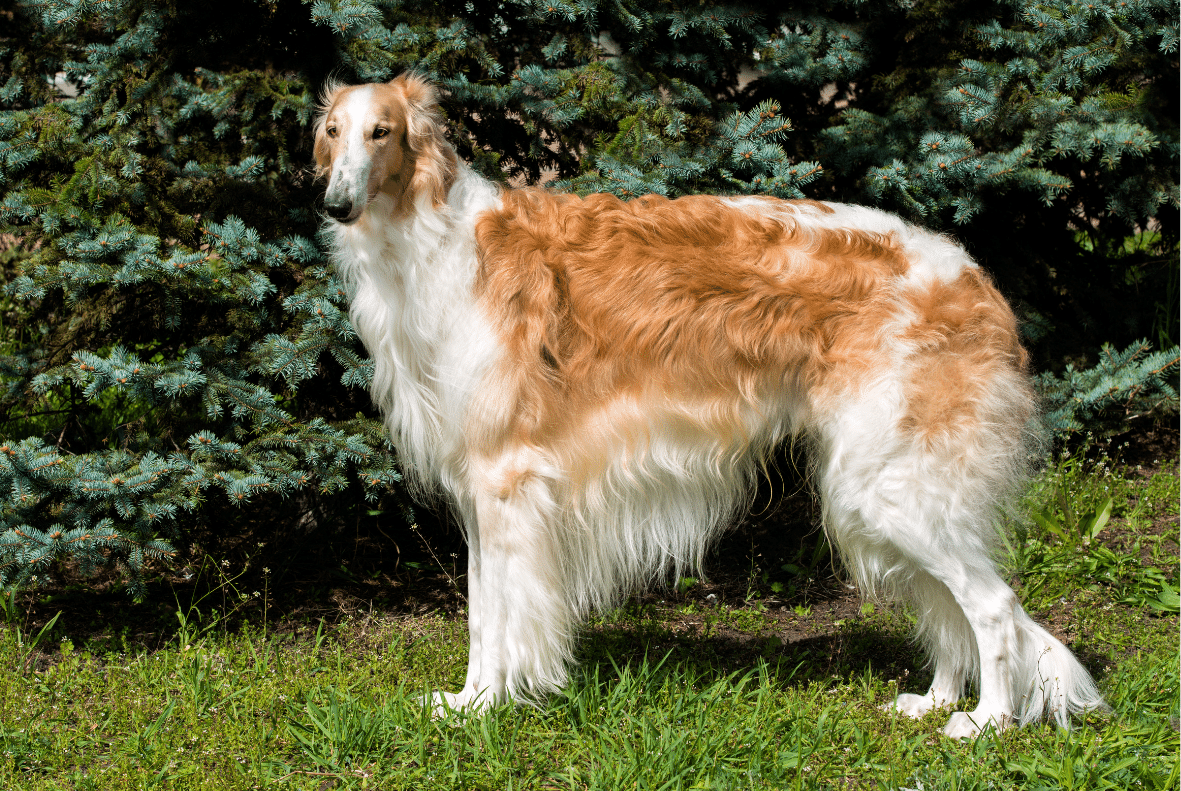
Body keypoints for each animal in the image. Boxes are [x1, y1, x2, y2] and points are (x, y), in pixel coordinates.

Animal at [316, 72, 1105, 736]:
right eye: (331, 130)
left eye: (381, 132)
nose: (334, 203)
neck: (438, 243)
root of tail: (975, 278)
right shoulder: (480, 485)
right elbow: (483, 613)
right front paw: (464, 703)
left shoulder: (505, 478)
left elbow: (503, 615)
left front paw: (486, 707)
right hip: (880, 486)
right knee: (948, 608)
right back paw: (937, 699)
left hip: (888, 485)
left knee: (992, 606)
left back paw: (986, 722)